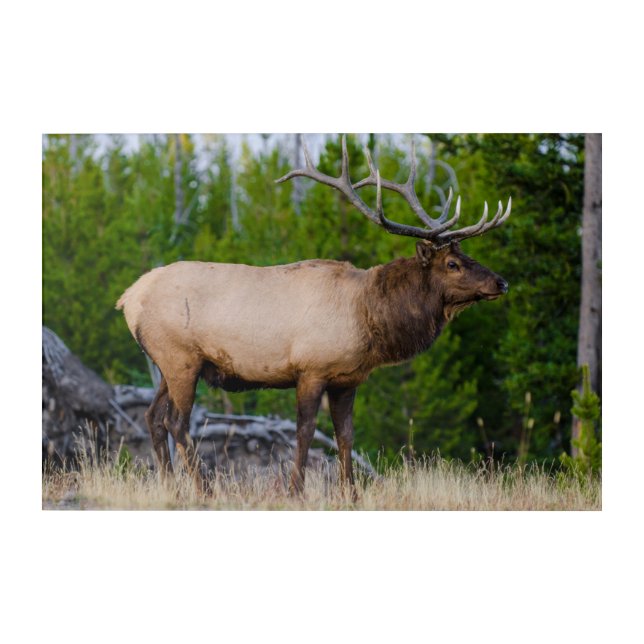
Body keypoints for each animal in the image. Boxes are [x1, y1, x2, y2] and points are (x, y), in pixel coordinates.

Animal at [116, 135, 511, 495]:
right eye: (453, 263)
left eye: (468, 256)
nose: (501, 282)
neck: (368, 316)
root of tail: (128, 298)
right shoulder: (310, 369)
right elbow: (305, 431)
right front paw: (296, 490)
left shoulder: (347, 379)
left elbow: (345, 435)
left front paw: (350, 493)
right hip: (181, 357)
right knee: (176, 422)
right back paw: (202, 490)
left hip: (170, 363)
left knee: (153, 417)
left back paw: (170, 487)